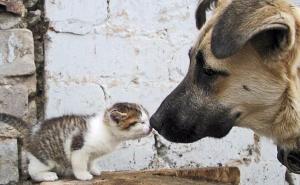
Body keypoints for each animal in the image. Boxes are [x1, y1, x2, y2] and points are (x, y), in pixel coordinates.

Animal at [0, 103, 151, 181]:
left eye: (147, 120)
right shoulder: (79, 148)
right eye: (140, 122)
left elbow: (92, 161)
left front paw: (94, 169)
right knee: (33, 170)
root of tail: (32, 130)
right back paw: (47, 175)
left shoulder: (93, 153)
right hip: (45, 158)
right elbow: (79, 164)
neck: (106, 130)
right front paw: (83, 175)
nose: (150, 128)